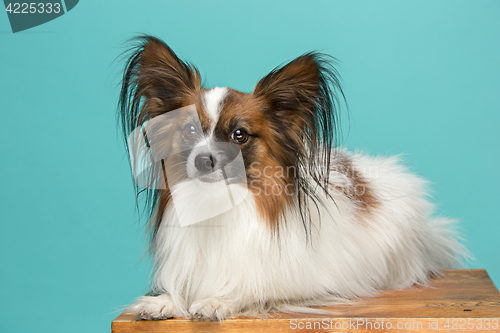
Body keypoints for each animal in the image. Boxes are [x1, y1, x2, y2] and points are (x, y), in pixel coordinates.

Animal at [119, 35, 466, 320]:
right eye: (190, 130)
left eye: (239, 135)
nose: (204, 160)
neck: (222, 203)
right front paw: (165, 301)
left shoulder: (307, 283)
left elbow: (254, 287)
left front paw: (219, 299)